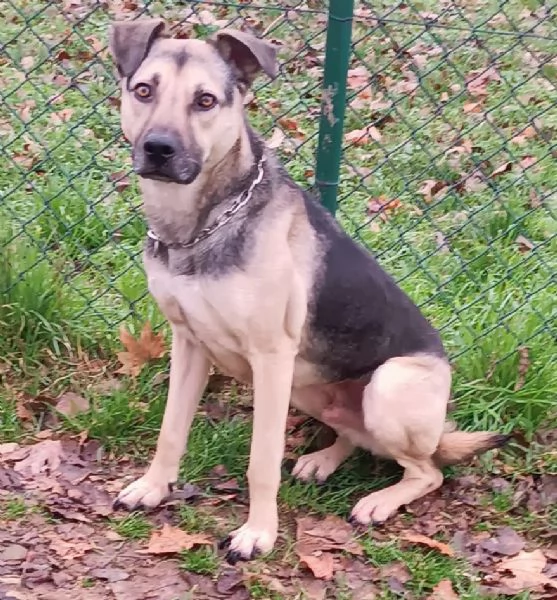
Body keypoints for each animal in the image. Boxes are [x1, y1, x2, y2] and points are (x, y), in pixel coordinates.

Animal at [106, 18, 506, 564]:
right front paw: (153, 487)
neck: (200, 226)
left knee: (429, 471)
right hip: (308, 387)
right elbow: (171, 430)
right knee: (358, 437)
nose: (159, 149)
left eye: (205, 101)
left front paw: (258, 532)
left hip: (386, 384)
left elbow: (262, 460)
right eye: (144, 90)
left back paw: (381, 500)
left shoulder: (271, 358)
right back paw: (324, 459)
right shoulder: (188, 343)